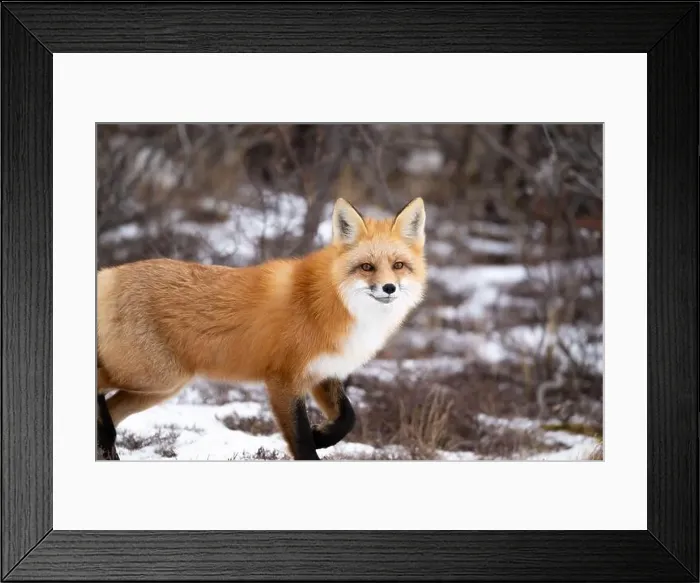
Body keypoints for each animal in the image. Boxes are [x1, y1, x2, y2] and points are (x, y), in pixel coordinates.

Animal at [96, 196, 428, 460]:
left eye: (398, 266)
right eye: (367, 267)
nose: (388, 288)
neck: (330, 302)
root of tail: (110, 273)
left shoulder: (321, 371)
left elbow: (348, 417)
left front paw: (322, 435)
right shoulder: (283, 379)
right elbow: (301, 440)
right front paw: (314, 441)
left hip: (161, 386)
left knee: (110, 408)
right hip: (155, 375)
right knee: (99, 386)